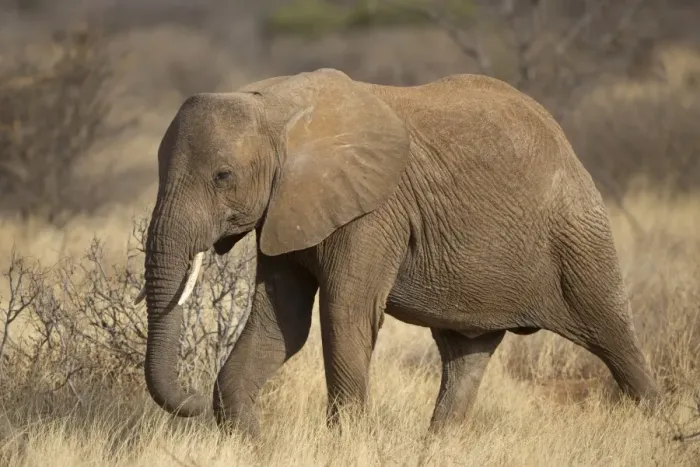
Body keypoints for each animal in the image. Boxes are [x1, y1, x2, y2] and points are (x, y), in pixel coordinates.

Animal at [135, 68, 660, 437]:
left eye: (222, 176)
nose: (191, 400)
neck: (277, 106)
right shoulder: (286, 210)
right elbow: (278, 325)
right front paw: (251, 443)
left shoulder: (374, 212)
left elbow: (345, 314)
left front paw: (348, 444)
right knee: (465, 358)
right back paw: (439, 445)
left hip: (577, 231)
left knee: (614, 336)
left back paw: (658, 428)